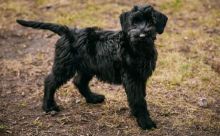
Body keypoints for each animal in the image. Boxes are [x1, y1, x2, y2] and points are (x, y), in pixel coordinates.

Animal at [17, 4, 168, 130]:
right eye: (134, 22)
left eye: (151, 21)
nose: (142, 35)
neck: (138, 49)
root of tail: (68, 32)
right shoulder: (132, 77)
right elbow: (138, 100)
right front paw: (145, 122)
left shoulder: (141, 77)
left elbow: (140, 96)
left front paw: (136, 115)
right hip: (65, 66)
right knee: (50, 81)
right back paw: (48, 106)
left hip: (87, 67)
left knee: (79, 81)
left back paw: (93, 98)